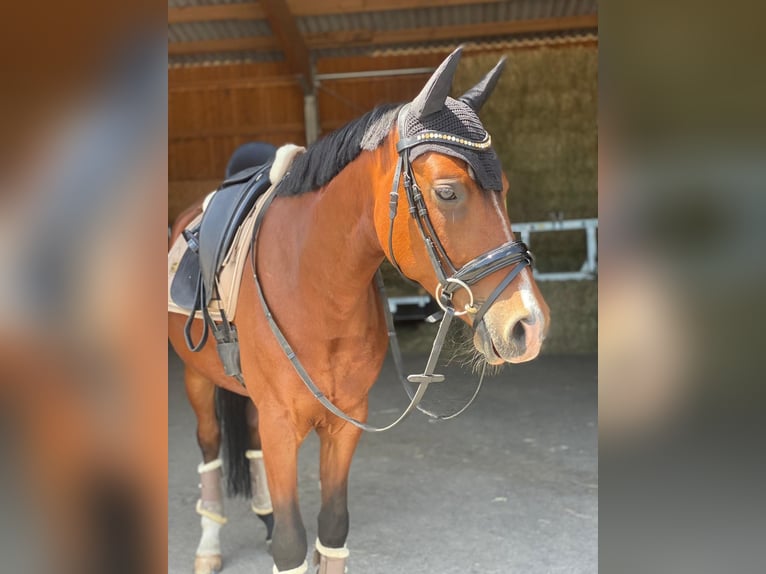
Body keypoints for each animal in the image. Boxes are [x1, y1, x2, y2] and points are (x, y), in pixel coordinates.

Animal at [170, 48, 552, 574]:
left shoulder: (345, 421)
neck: (315, 288)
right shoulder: (281, 425)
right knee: (209, 445)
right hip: (197, 378)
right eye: (448, 192)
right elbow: (291, 544)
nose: (528, 325)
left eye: (506, 189)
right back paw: (208, 545)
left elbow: (332, 528)